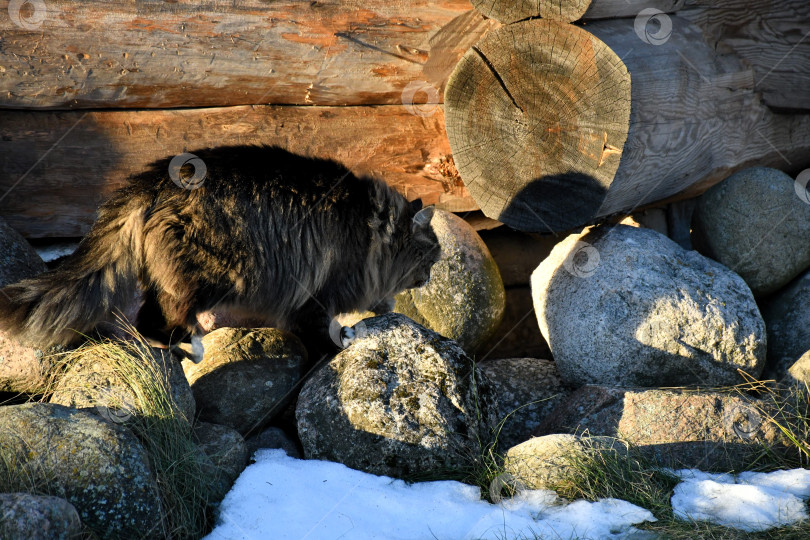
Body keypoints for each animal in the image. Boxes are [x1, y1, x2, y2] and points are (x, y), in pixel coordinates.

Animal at [0, 146, 438, 360]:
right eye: (430, 256)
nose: (432, 276)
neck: (369, 228)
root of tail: (151, 182)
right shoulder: (316, 293)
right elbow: (317, 331)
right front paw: (333, 351)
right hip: (207, 276)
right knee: (159, 322)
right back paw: (186, 347)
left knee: (147, 319)